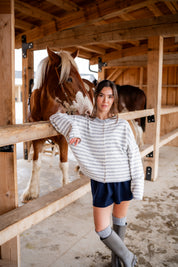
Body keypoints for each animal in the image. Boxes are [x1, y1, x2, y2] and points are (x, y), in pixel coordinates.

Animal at [21, 47, 93, 203]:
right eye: (69, 78)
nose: (88, 109)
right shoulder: (37, 138)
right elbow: (36, 164)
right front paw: (32, 191)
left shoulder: (63, 139)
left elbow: (63, 163)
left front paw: (66, 187)